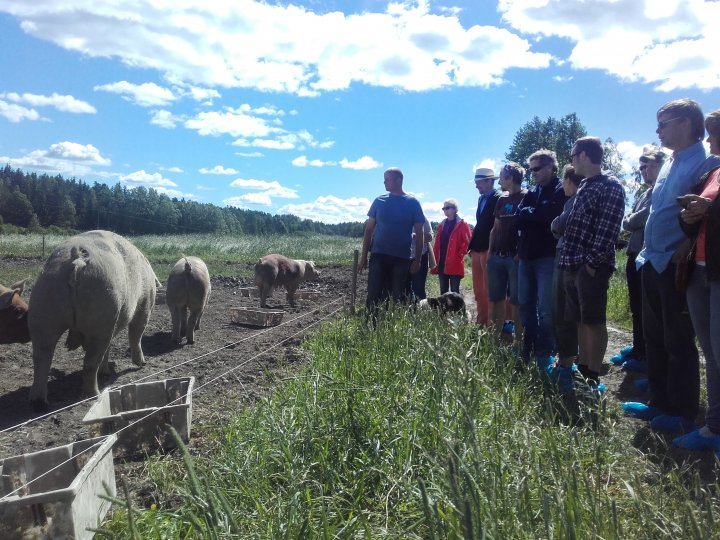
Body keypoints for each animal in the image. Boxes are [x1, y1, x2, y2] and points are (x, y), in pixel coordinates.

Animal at [27, 229, 160, 404]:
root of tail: (77, 260)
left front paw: (106, 371)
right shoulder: (145, 304)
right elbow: (136, 335)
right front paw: (142, 364)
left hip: (43, 306)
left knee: (41, 356)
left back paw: (39, 402)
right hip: (101, 311)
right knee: (90, 362)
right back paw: (94, 395)